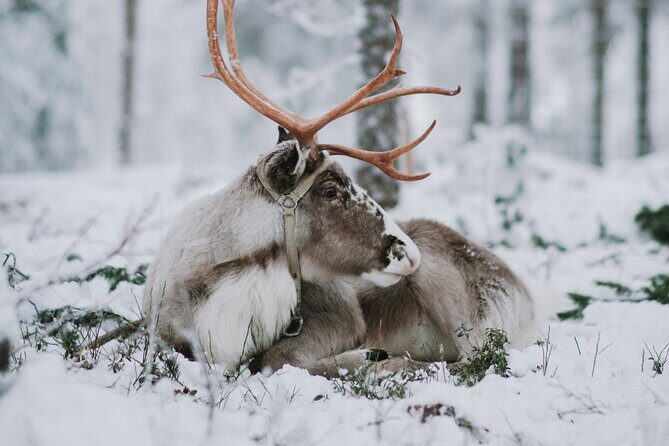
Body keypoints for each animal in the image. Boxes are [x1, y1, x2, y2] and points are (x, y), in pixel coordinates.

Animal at [142, 0, 535, 376]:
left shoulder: (343, 316)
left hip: (447, 292)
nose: (410, 253)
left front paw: (369, 356)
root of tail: (526, 296)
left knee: (475, 358)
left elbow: (275, 358)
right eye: (330, 191)